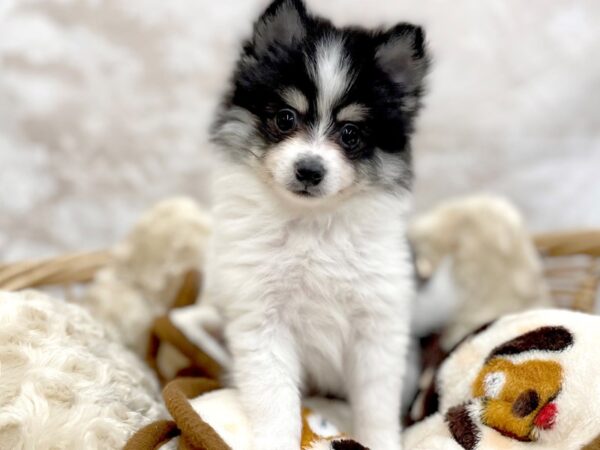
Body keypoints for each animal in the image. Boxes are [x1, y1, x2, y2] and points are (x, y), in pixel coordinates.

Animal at [188, 1, 426, 448]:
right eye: (285, 118)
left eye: (350, 133)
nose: (309, 170)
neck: (313, 225)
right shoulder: (262, 321)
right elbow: (275, 400)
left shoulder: (378, 324)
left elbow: (376, 404)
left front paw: (381, 441)